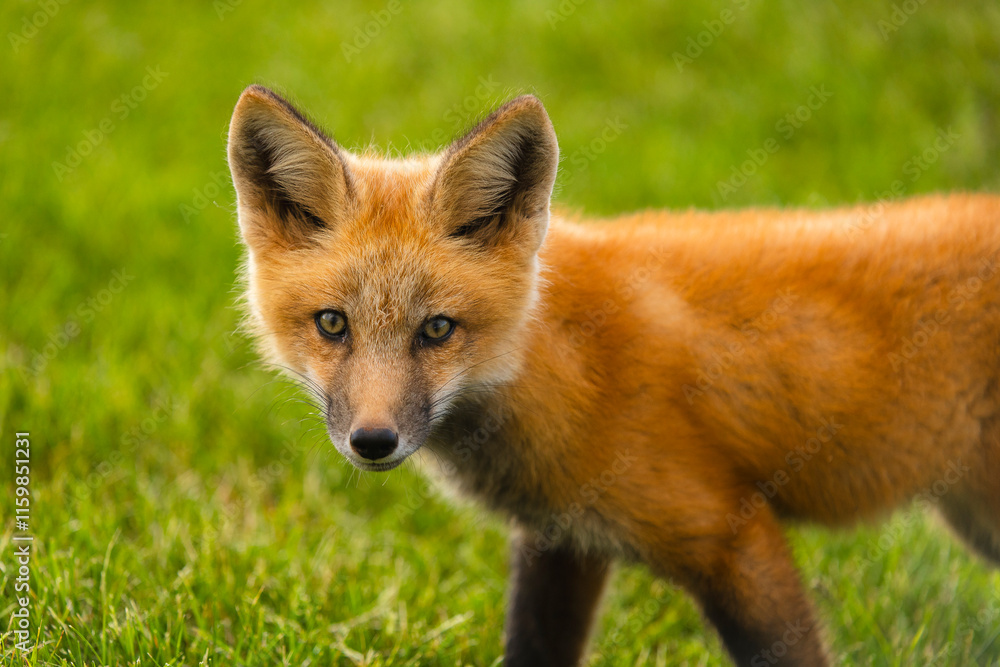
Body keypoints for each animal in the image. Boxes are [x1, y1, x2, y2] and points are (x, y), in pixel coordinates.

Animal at [226, 84, 1000, 666]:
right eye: (333, 324)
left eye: (437, 329)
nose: (373, 441)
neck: (566, 362)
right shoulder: (561, 541)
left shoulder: (730, 533)